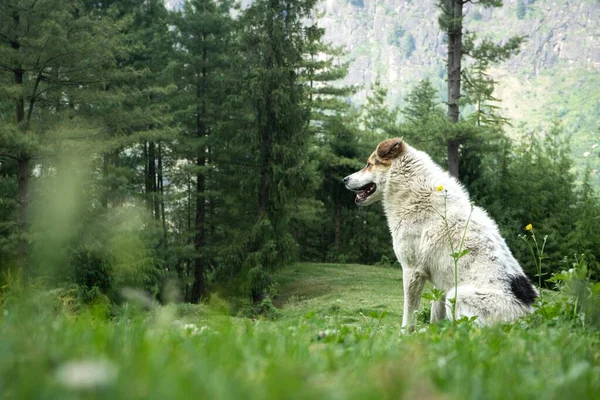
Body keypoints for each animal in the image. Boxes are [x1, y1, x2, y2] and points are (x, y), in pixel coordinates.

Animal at [344, 138, 536, 332]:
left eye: (368, 164)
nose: (345, 179)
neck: (410, 188)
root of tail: (528, 319)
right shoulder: (439, 284)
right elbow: (435, 318)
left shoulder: (412, 271)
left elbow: (409, 316)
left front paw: (404, 335)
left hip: (456, 296)